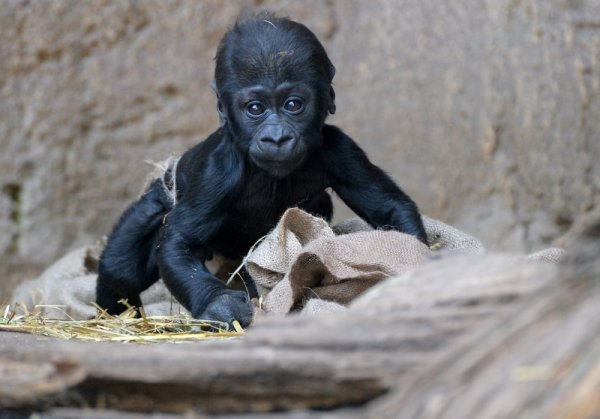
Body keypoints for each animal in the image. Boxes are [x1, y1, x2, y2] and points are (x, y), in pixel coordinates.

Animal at [97, 12, 426, 328]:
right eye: (255, 108)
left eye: (293, 104)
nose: (276, 138)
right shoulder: (217, 171)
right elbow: (180, 243)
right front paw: (219, 304)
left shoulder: (340, 148)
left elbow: (389, 208)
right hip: (160, 195)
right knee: (121, 267)